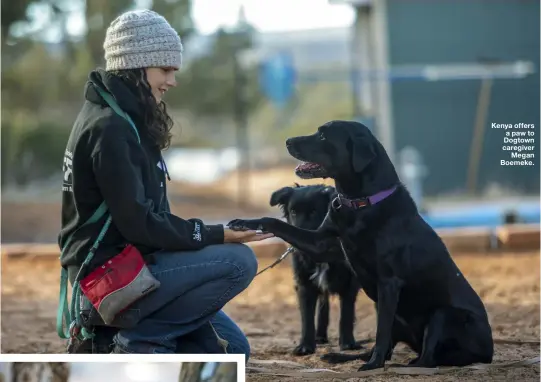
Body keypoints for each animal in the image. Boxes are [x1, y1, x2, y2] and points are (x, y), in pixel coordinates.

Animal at [268, 184, 362, 356]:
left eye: (313, 212)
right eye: (293, 212)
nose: (297, 241)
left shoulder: (350, 284)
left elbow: (346, 314)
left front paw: (347, 343)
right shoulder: (305, 284)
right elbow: (307, 318)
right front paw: (306, 345)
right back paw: (320, 336)